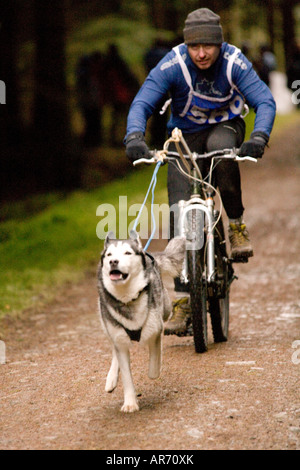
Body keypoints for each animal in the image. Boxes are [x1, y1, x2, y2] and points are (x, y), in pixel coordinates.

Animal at [97, 230, 185, 412]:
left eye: (127, 253)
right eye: (109, 255)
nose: (113, 261)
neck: (127, 298)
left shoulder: (156, 329)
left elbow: (154, 360)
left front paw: (154, 371)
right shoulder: (119, 339)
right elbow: (126, 376)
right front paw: (130, 403)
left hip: (166, 310)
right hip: (107, 325)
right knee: (115, 348)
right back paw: (111, 379)